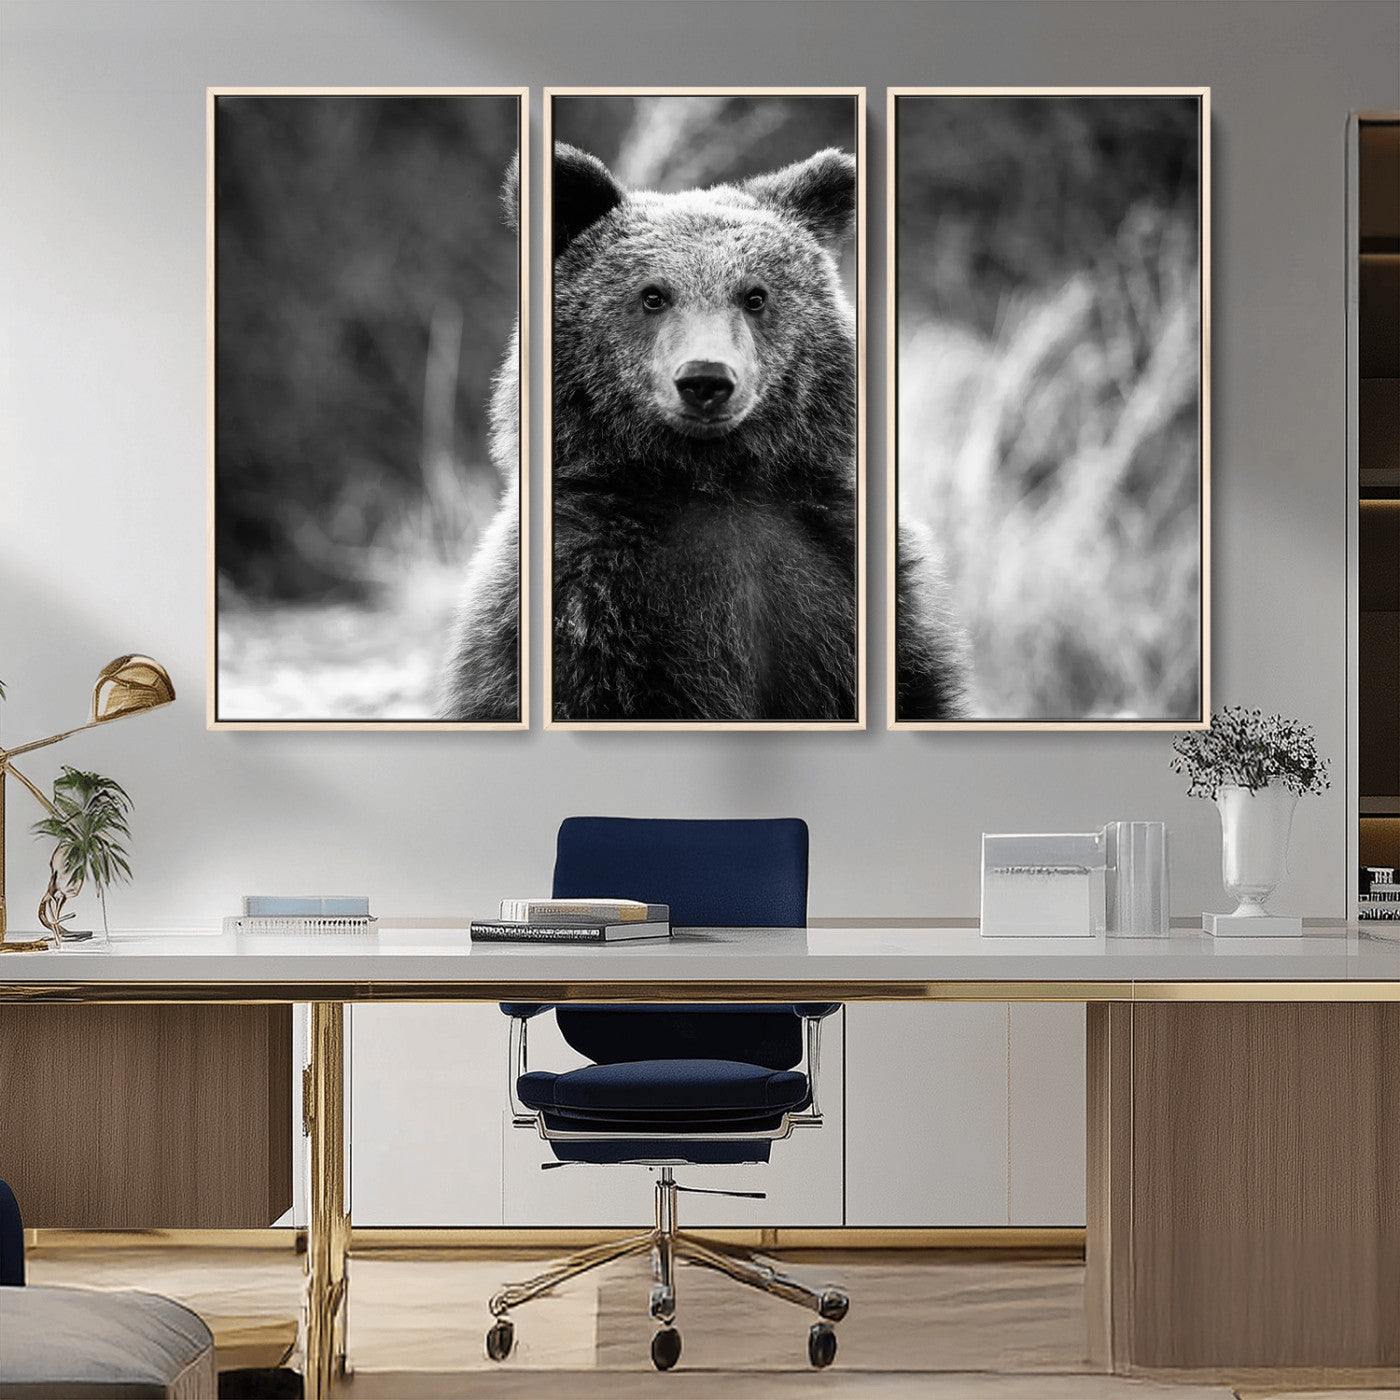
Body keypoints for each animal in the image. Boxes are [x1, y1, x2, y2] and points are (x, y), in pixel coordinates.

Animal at [440, 143, 966, 723]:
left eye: (755, 296)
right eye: (652, 295)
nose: (706, 379)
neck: (711, 480)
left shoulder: (837, 569)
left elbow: (916, 686)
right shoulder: (587, 597)